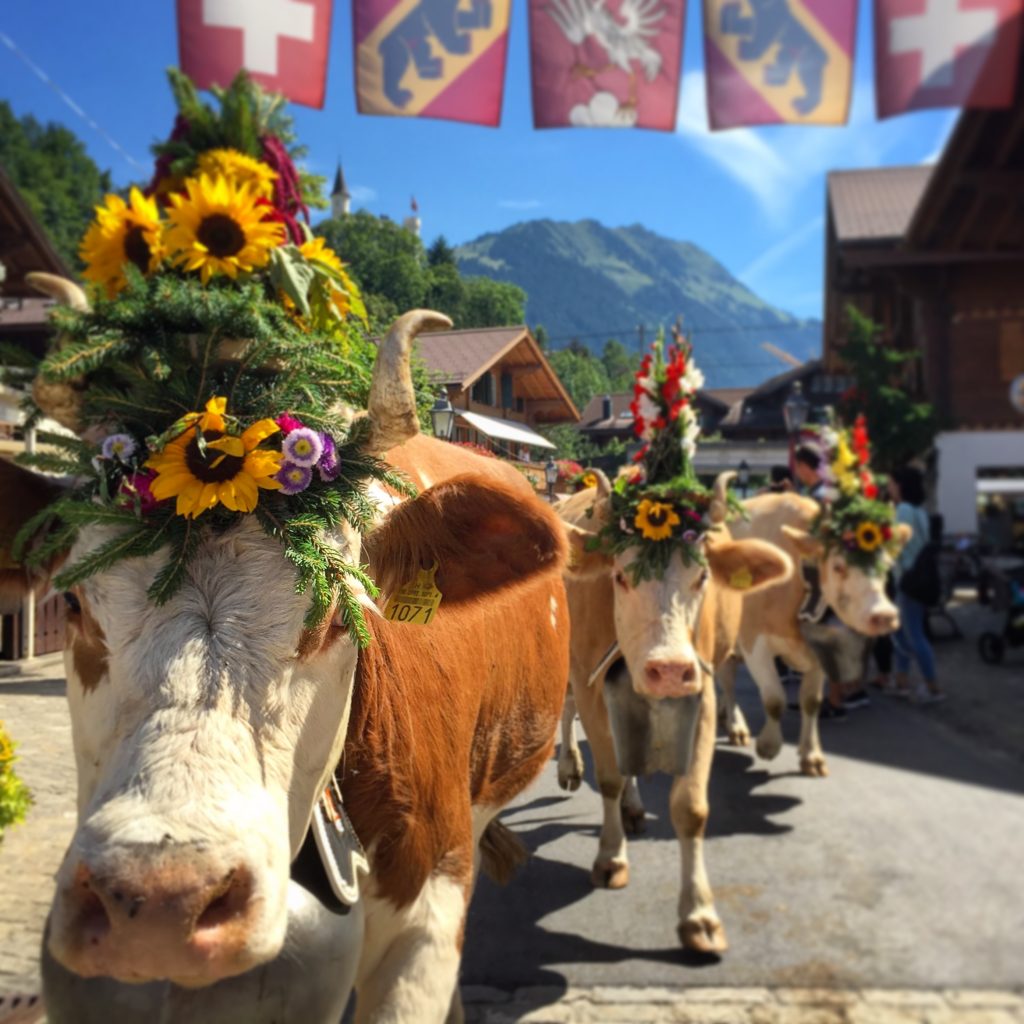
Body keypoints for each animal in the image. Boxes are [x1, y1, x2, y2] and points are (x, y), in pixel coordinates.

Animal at [557, 471, 786, 950]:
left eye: (702, 576)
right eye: (620, 576)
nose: (667, 669)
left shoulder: (702, 694)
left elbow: (690, 807)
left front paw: (699, 914)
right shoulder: (589, 684)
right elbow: (608, 777)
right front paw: (611, 857)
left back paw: (634, 807)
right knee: (566, 709)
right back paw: (569, 767)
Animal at [716, 493, 909, 774]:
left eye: (886, 565)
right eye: (838, 566)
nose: (884, 615)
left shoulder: (818, 650)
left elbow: (811, 702)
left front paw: (811, 756)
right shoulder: (754, 642)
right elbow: (774, 699)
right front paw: (768, 745)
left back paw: (724, 715)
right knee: (727, 680)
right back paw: (736, 726)